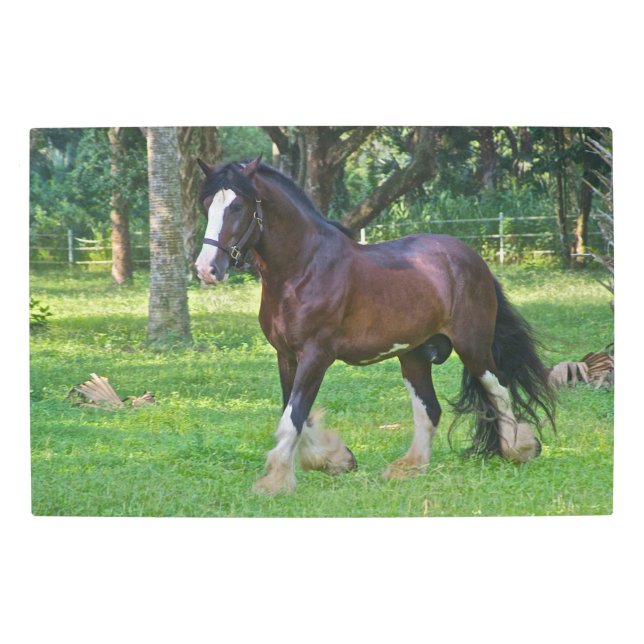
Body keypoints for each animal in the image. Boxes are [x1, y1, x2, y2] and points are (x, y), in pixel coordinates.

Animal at [194, 156, 555, 495]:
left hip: (473, 347)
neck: (304, 269)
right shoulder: (286, 356)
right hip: (414, 356)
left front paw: (275, 481)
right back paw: (409, 467)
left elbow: (293, 417)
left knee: (499, 389)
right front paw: (335, 459)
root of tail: (473, 258)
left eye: (237, 205)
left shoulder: (316, 356)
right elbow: (295, 412)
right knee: (430, 410)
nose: (206, 269)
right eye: (206, 204)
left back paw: (520, 448)